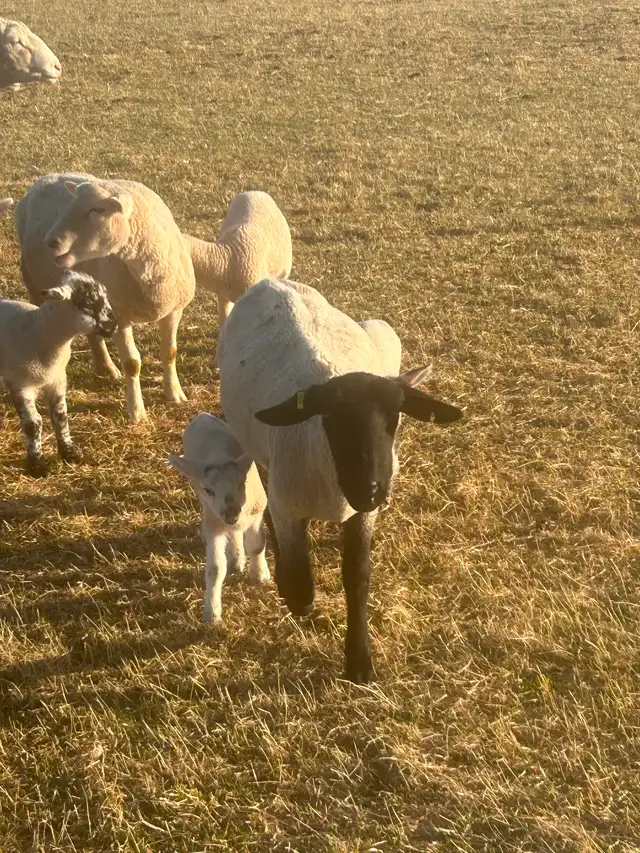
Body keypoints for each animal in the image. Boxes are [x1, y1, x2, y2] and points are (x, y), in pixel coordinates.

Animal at [0, 270, 116, 475]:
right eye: (88, 302)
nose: (114, 325)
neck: (38, 330)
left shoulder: (57, 379)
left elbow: (60, 416)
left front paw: (70, 452)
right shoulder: (20, 384)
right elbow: (33, 423)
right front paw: (37, 465)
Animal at [16, 172, 196, 422]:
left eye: (98, 209)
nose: (50, 242)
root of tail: (48, 176)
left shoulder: (174, 310)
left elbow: (170, 353)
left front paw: (175, 395)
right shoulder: (119, 315)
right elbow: (132, 363)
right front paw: (136, 412)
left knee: (93, 334)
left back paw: (106, 368)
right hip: (35, 284)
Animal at [169, 413, 270, 623]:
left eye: (242, 482)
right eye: (208, 490)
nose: (231, 512)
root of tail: (201, 416)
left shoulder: (257, 512)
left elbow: (257, 546)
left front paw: (260, 574)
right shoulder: (214, 525)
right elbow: (215, 569)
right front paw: (212, 614)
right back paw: (236, 557)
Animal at [217, 278, 463, 683]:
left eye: (395, 417)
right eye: (330, 419)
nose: (370, 489)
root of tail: (273, 281)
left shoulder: (364, 514)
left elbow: (358, 575)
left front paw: (359, 661)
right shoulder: (288, 505)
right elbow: (301, 585)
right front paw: (292, 591)